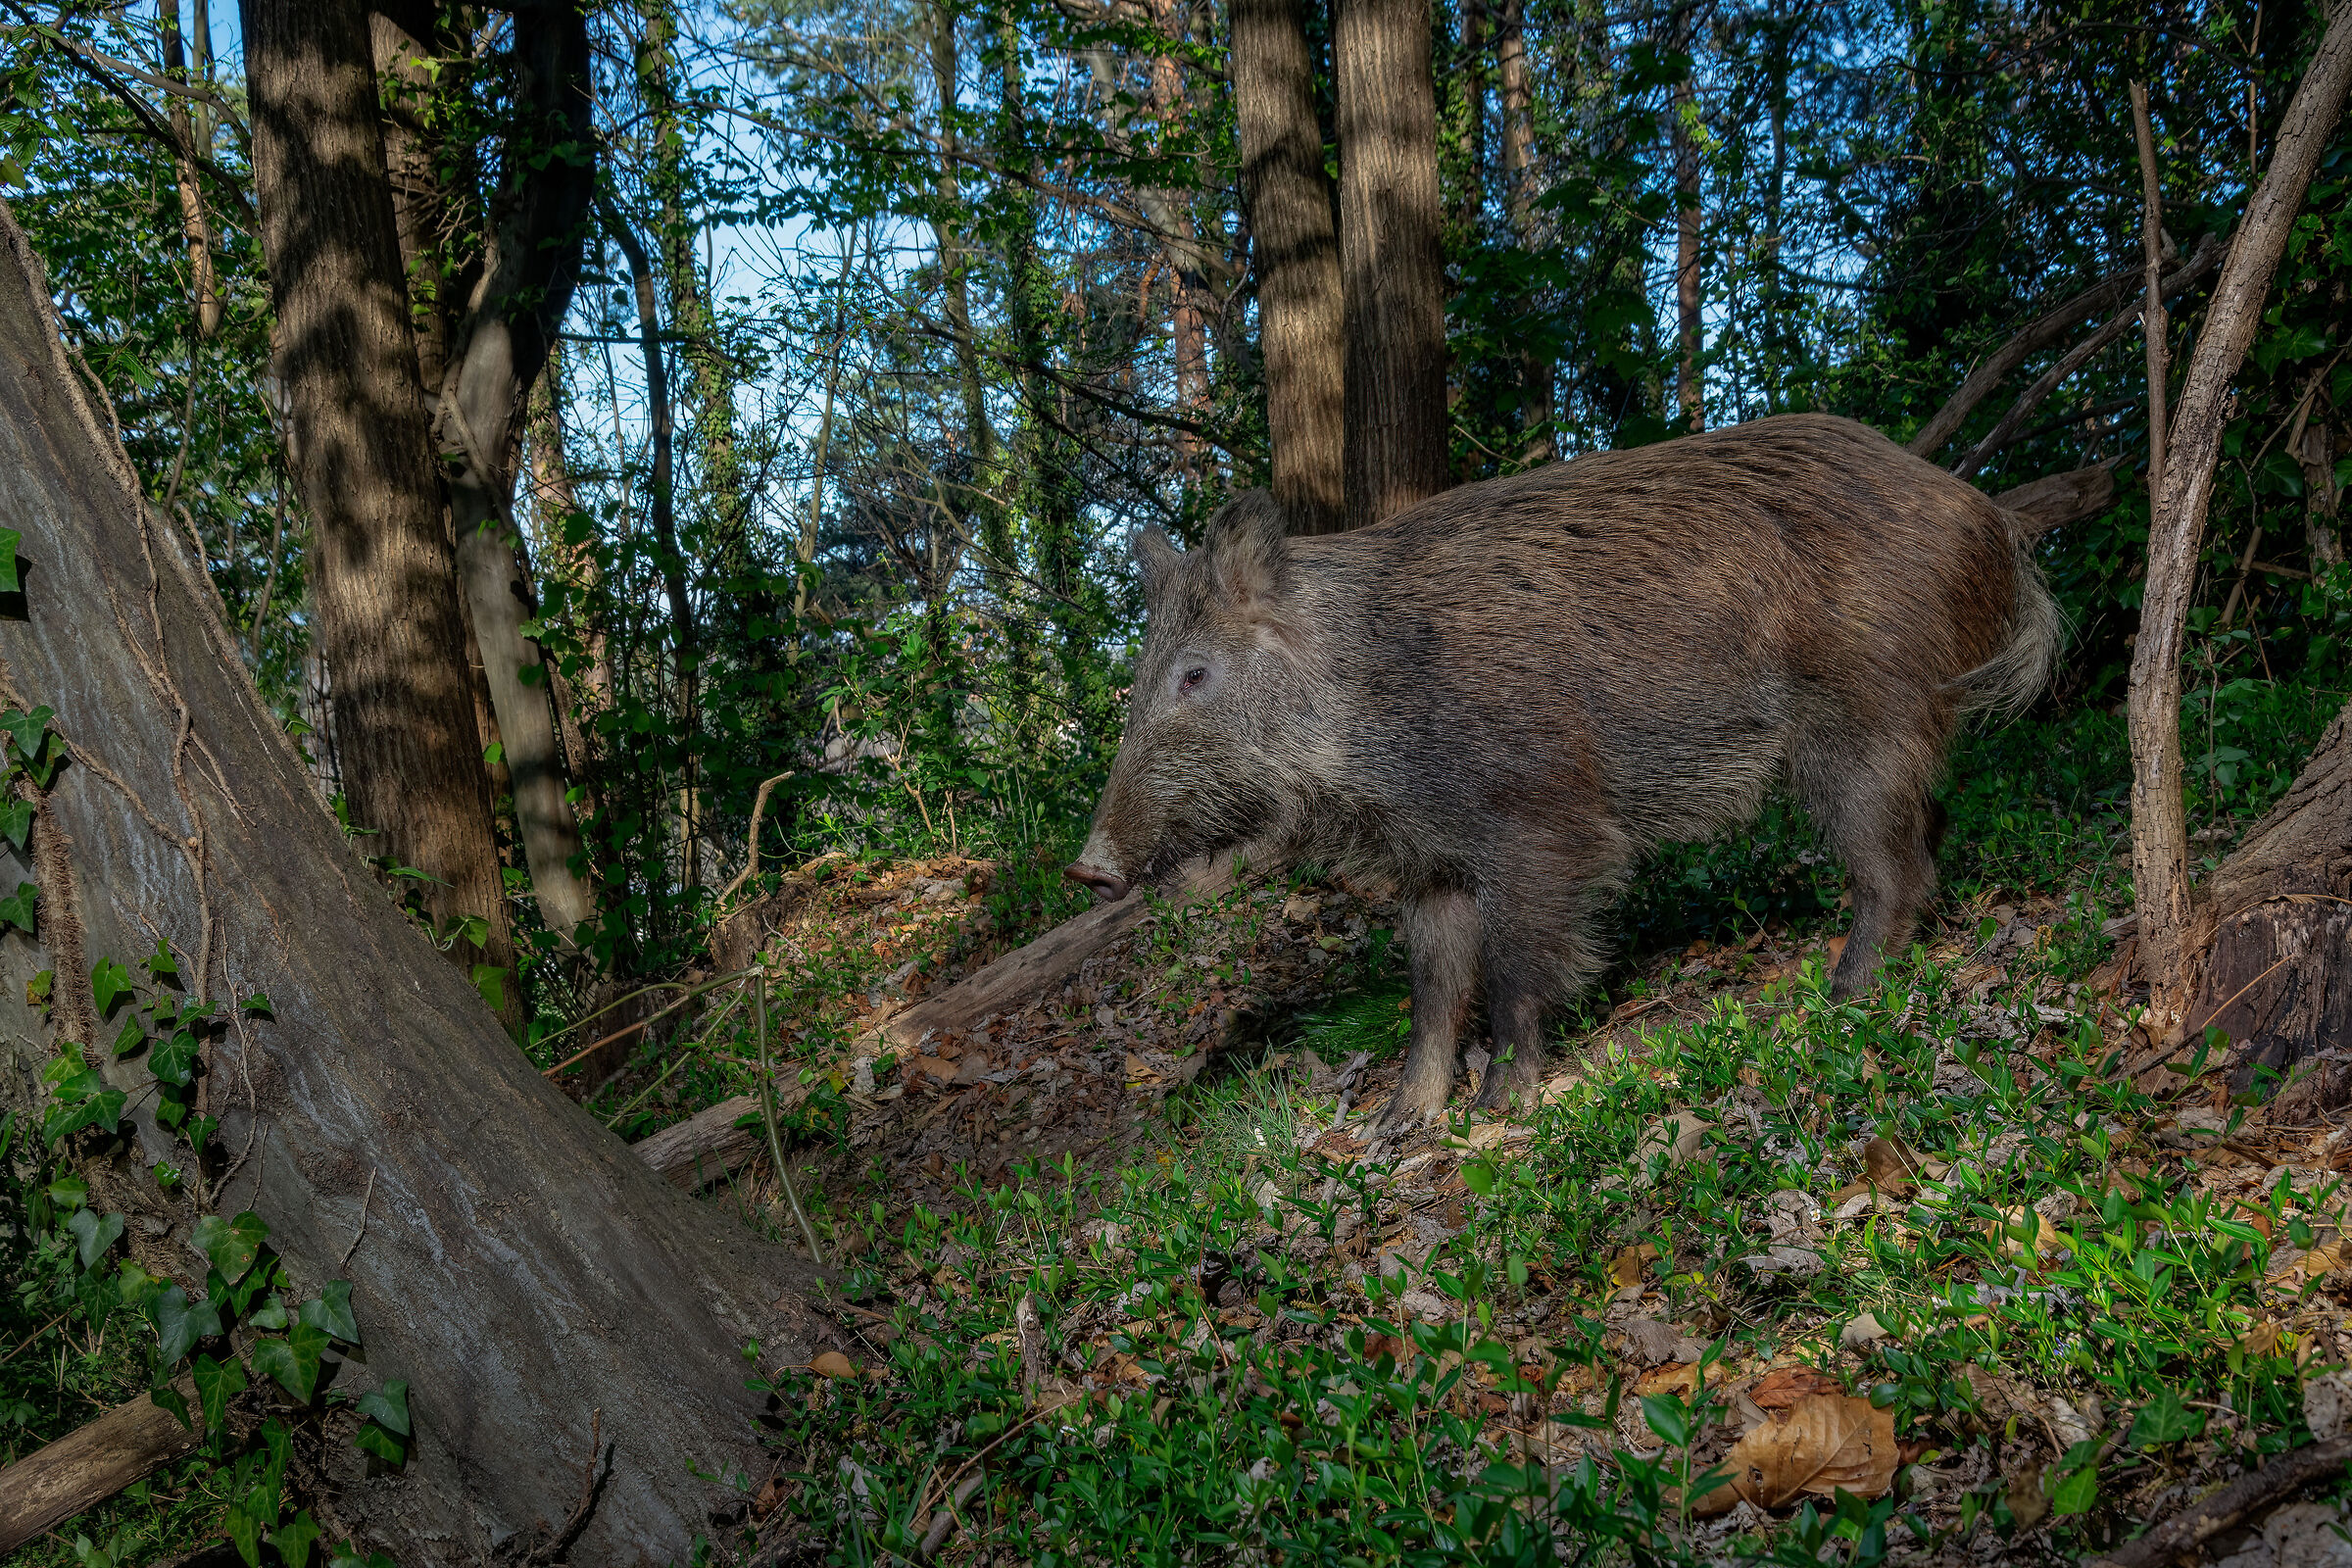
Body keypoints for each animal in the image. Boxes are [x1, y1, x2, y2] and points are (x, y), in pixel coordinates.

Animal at [1066, 415, 2060, 1130]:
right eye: (1141, 674)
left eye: (1195, 674)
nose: (1087, 867)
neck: (1366, 697)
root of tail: (1988, 517)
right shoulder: (1431, 863)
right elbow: (1432, 989)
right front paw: (1398, 1126)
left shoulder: (1539, 818)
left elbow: (1515, 967)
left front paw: (1502, 1110)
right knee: (1927, 833)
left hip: (1865, 717)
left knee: (1893, 865)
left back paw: (1837, 995)